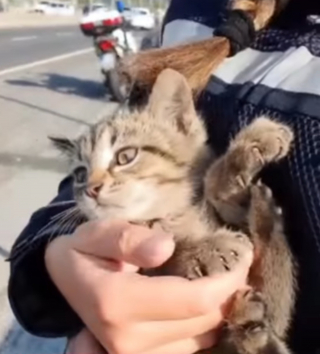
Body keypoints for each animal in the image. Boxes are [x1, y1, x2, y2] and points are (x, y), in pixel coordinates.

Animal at [49, 68, 296, 354]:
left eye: (126, 156)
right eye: (80, 174)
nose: (91, 188)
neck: (169, 217)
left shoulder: (274, 302)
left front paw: (250, 146)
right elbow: (167, 259)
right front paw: (204, 250)